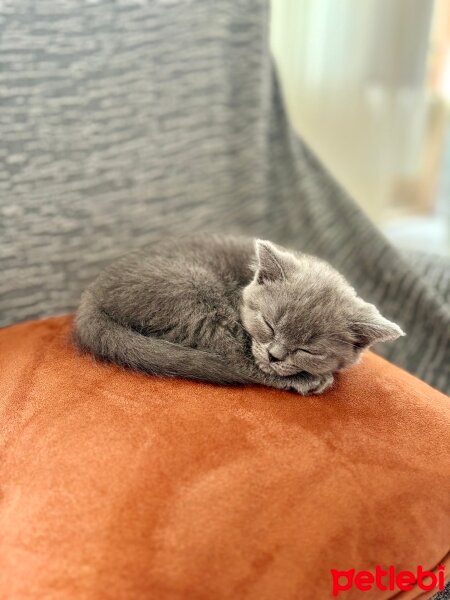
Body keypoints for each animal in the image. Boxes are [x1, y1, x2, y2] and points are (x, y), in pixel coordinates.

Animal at [74, 234, 404, 394]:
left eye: (308, 350)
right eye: (269, 326)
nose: (275, 356)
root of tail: (91, 296)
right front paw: (309, 377)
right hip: (196, 292)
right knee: (236, 362)